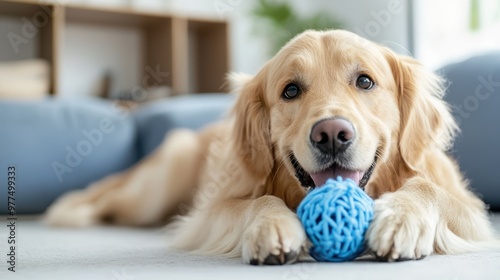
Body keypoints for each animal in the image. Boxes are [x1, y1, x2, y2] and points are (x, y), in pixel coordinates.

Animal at [45, 30, 498, 264]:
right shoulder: (211, 212)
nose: (331, 133)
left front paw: (402, 219)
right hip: (154, 189)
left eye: (365, 81)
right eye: (290, 90)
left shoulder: (471, 211)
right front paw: (273, 226)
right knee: (108, 197)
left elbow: (426, 188)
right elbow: (257, 202)